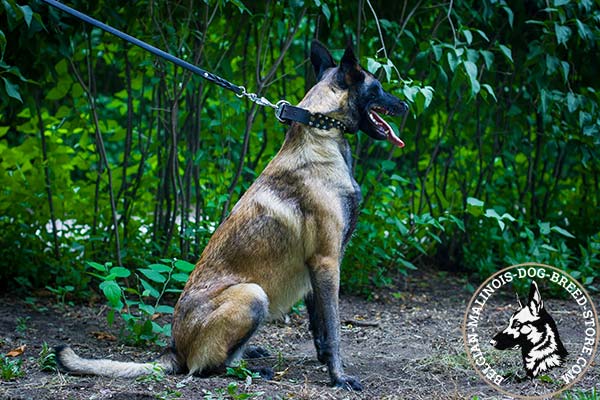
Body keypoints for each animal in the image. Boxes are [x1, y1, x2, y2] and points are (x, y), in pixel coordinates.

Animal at [55, 40, 408, 390]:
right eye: (378, 88)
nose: (405, 105)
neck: (321, 132)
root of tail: (174, 350)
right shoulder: (327, 261)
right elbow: (333, 329)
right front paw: (338, 376)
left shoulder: (317, 267)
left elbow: (320, 325)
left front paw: (325, 362)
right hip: (253, 295)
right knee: (206, 367)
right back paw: (251, 369)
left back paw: (251, 354)